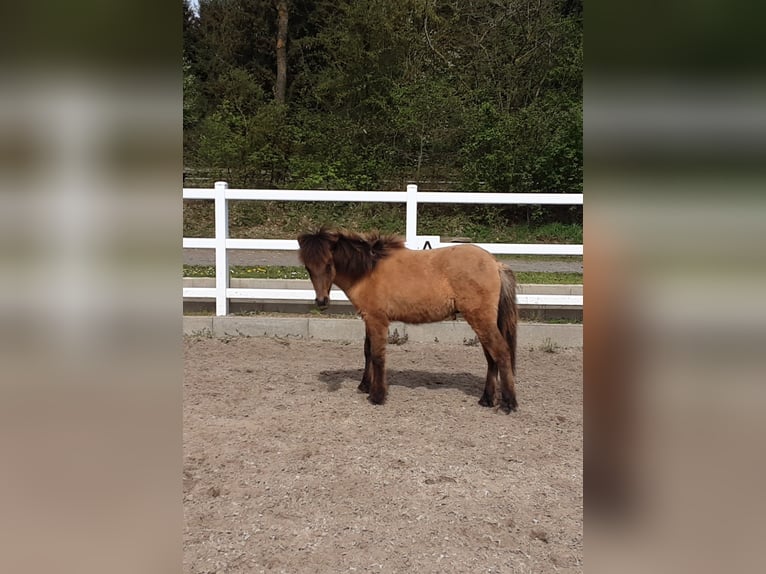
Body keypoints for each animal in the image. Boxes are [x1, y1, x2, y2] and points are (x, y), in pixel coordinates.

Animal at [296, 227, 520, 412]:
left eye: (328, 264)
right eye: (308, 268)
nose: (321, 302)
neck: (368, 272)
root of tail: (495, 263)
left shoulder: (378, 320)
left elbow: (377, 355)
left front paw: (377, 396)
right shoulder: (368, 319)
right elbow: (367, 352)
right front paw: (364, 386)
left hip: (480, 319)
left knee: (501, 352)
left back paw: (509, 403)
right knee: (491, 356)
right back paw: (487, 399)